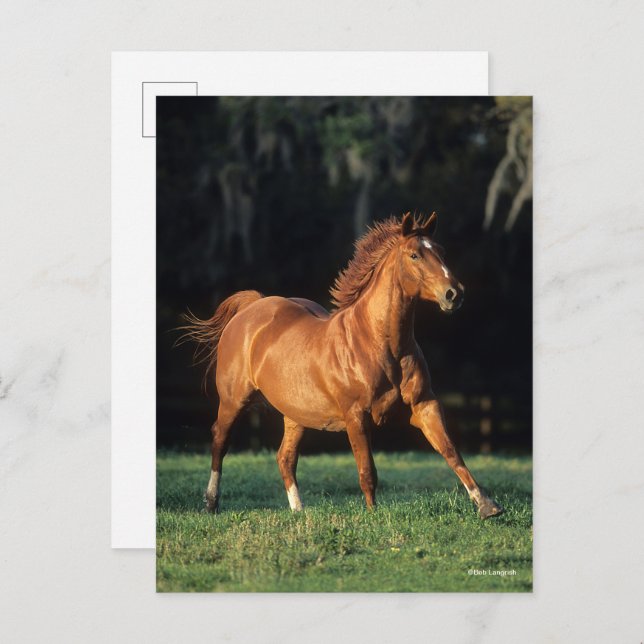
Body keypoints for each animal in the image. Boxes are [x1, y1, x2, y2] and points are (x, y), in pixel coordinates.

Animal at [181, 212, 504, 519]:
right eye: (414, 255)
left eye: (441, 251)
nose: (454, 294)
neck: (380, 343)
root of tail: (252, 307)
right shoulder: (356, 415)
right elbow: (367, 471)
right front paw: (373, 516)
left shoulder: (424, 405)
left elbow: (451, 451)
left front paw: (487, 506)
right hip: (234, 400)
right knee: (220, 441)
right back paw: (211, 504)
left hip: (295, 414)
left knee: (285, 458)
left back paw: (299, 511)